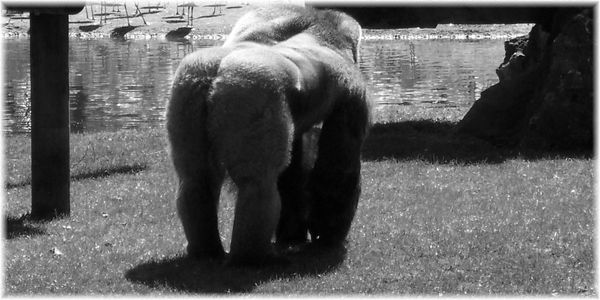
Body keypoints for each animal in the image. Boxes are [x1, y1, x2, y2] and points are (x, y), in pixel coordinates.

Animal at [165, 5, 370, 266]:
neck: (322, 31)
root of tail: (215, 73)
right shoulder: (354, 92)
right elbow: (337, 172)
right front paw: (329, 237)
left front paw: (293, 234)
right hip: (249, 88)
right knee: (258, 182)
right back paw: (253, 257)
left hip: (187, 85)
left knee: (195, 178)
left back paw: (205, 250)